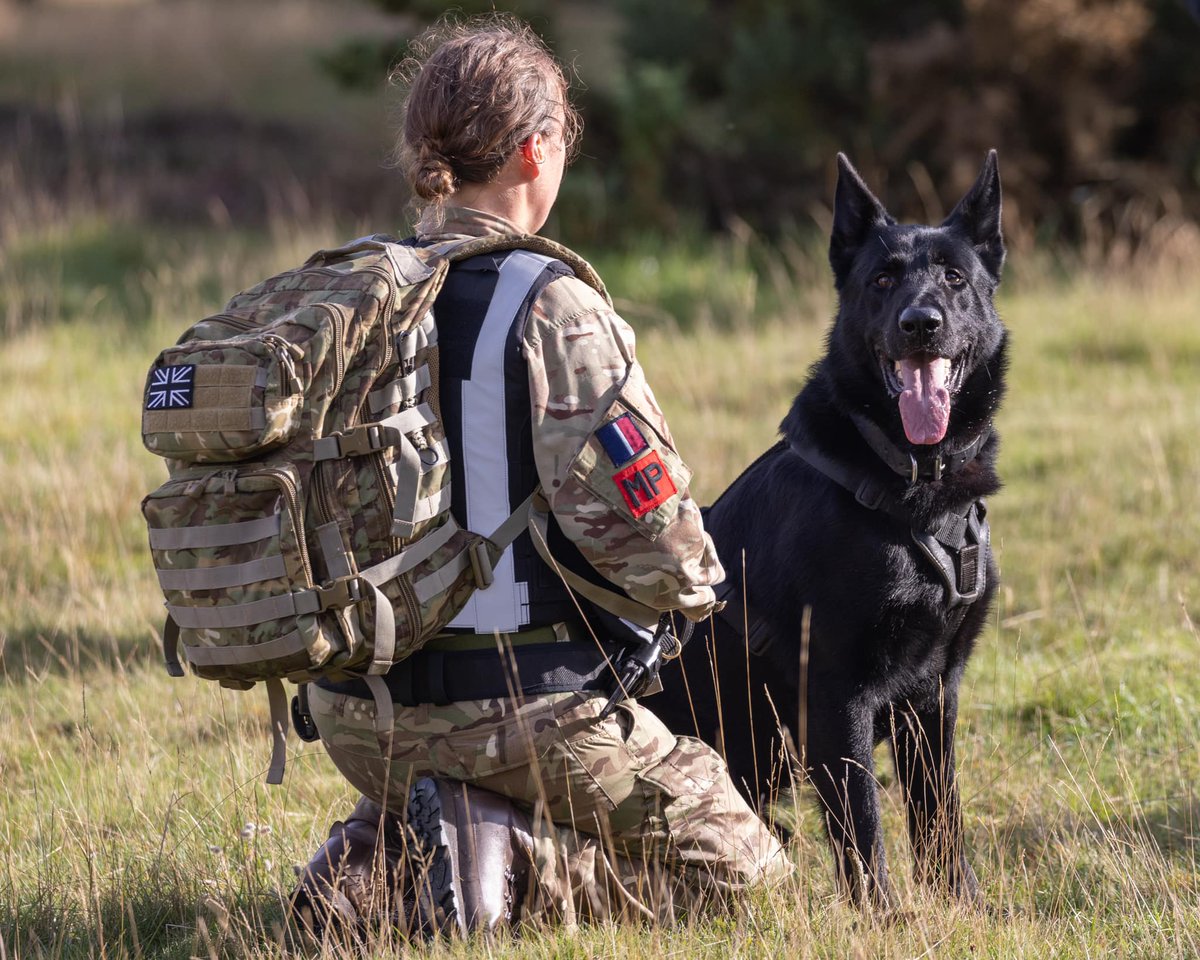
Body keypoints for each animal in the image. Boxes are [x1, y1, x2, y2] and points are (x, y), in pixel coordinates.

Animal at [652, 150, 1008, 907]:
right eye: (882, 280)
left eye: (954, 278)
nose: (921, 323)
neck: (911, 486)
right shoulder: (838, 696)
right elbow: (864, 829)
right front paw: (886, 918)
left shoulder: (935, 697)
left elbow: (941, 817)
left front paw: (961, 905)